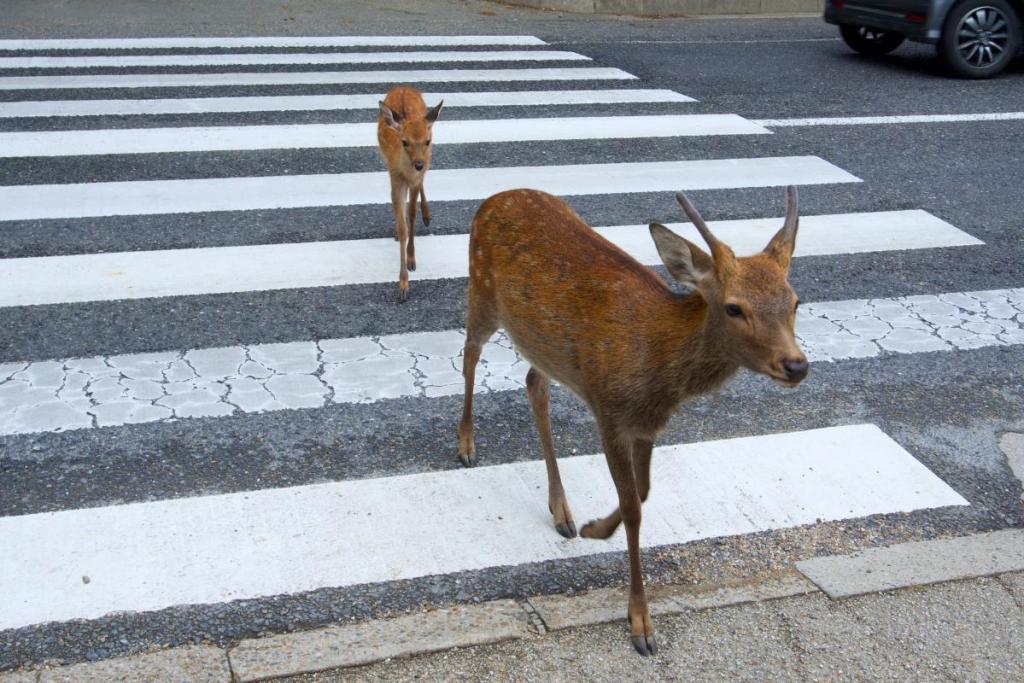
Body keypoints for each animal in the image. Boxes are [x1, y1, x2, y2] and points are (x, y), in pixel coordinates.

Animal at [377, 86, 443, 302]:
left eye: (427, 141)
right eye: (404, 142)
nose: (418, 164)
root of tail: (404, 87)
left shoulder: (415, 177)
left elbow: (412, 215)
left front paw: (412, 259)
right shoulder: (395, 177)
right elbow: (402, 227)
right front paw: (403, 284)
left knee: (422, 186)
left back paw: (427, 215)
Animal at [457, 186, 808, 656]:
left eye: (795, 301)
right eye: (734, 307)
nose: (796, 365)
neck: (659, 365)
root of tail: (495, 197)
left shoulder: (646, 423)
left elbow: (642, 493)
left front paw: (593, 527)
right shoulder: (609, 410)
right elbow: (633, 507)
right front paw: (641, 623)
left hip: (540, 344)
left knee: (534, 384)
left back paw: (561, 510)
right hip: (480, 291)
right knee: (469, 355)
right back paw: (466, 445)